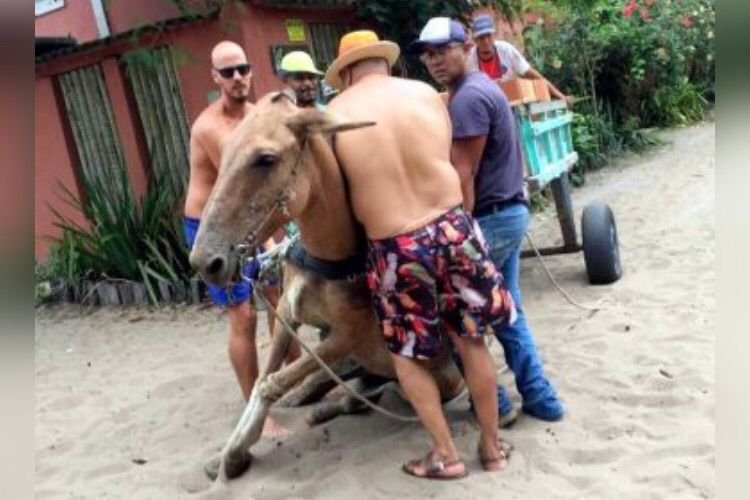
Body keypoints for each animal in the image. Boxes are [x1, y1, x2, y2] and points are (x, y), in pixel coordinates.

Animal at [191, 93, 468, 480]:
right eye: (225, 151)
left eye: (266, 159)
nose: (206, 262)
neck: (326, 259)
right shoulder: (287, 315)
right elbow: (264, 381)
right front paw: (228, 454)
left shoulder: (348, 336)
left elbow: (273, 382)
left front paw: (234, 455)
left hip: (433, 375)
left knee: (382, 391)